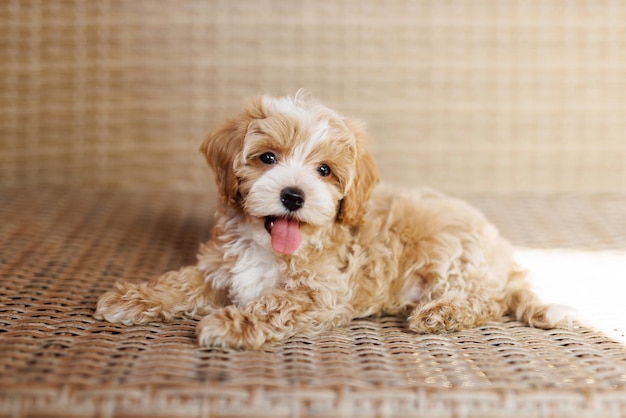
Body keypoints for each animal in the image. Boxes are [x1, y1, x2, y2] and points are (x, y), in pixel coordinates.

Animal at [95, 90, 572, 350]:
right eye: (267, 158)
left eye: (324, 170)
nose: (293, 195)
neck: (267, 247)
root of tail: (502, 252)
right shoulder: (220, 270)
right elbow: (180, 282)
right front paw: (131, 298)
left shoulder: (321, 296)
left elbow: (272, 304)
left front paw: (229, 323)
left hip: (454, 256)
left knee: (486, 299)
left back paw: (440, 313)